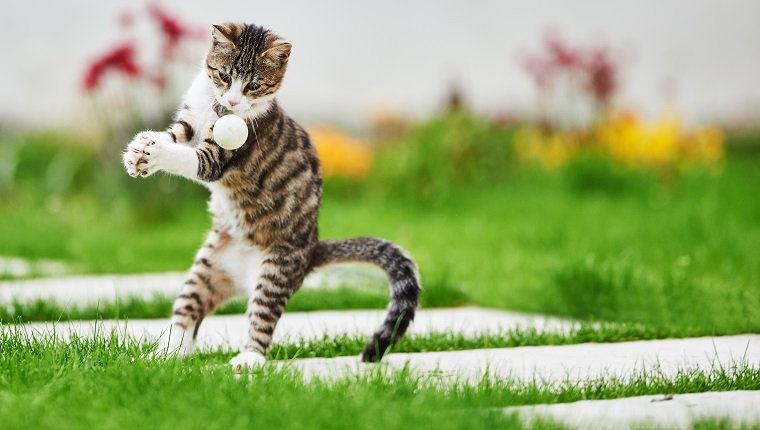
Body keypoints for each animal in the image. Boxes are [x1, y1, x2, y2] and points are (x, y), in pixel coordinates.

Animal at [123, 21, 422, 370]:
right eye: (223, 75)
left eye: (254, 85)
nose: (233, 103)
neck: (212, 104)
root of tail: (312, 248)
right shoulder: (190, 120)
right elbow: (175, 136)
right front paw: (139, 149)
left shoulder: (221, 155)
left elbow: (193, 159)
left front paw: (156, 153)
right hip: (205, 271)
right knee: (187, 314)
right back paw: (163, 356)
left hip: (275, 271)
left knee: (262, 317)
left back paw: (249, 359)